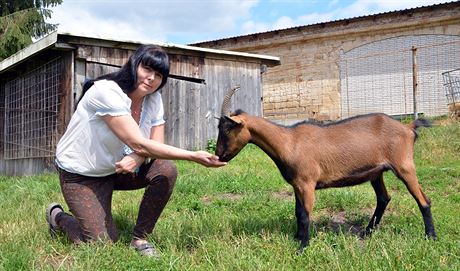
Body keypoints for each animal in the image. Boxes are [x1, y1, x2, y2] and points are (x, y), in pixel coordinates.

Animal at [217, 87, 436, 253]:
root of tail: (408, 128)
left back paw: (430, 236)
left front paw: (302, 247)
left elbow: (305, 215)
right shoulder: (297, 185)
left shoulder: (307, 183)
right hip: (376, 172)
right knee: (383, 198)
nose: (219, 155)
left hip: (404, 165)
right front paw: (297, 238)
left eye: (227, 128)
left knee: (423, 200)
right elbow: (298, 212)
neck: (288, 142)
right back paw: (366, 232)